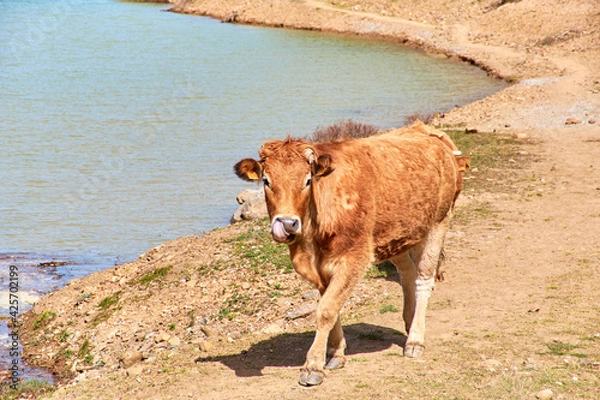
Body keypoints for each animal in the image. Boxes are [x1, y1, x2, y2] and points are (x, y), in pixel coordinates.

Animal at [233, 120, 468, 386]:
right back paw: (409, 322)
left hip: (439, 222)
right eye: (266, 181)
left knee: (423, 279)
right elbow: (330, 306)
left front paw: (313, 366)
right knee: (407, 272)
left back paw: (416, 339)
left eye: (307, 180)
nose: (287, 223)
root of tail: (426, 131)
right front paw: (336, 353)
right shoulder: (318, 267)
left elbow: (326, 310)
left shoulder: (354, 258)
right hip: (398, 234)